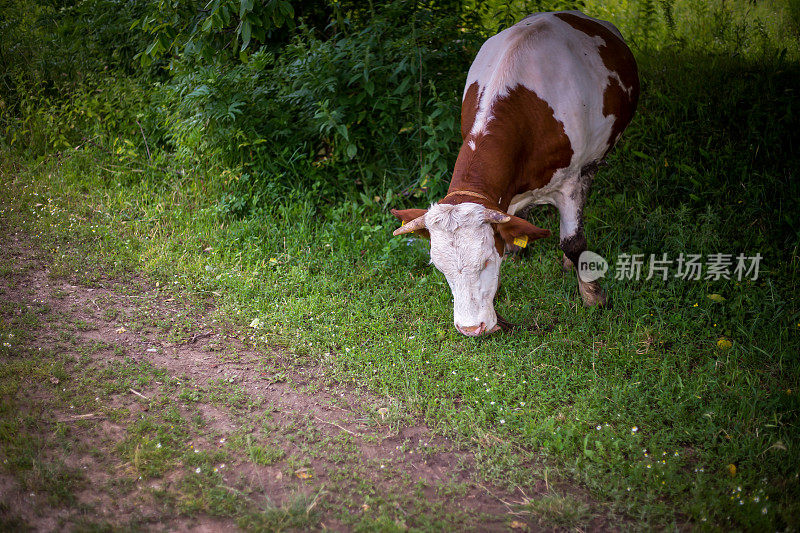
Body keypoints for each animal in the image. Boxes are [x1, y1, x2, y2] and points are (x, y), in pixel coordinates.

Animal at [390, 10, 640, 334]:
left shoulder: (569, 182)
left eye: (485, 261)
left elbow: (574, 242)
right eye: (439, 268)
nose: (470, 328)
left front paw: (593, 297)